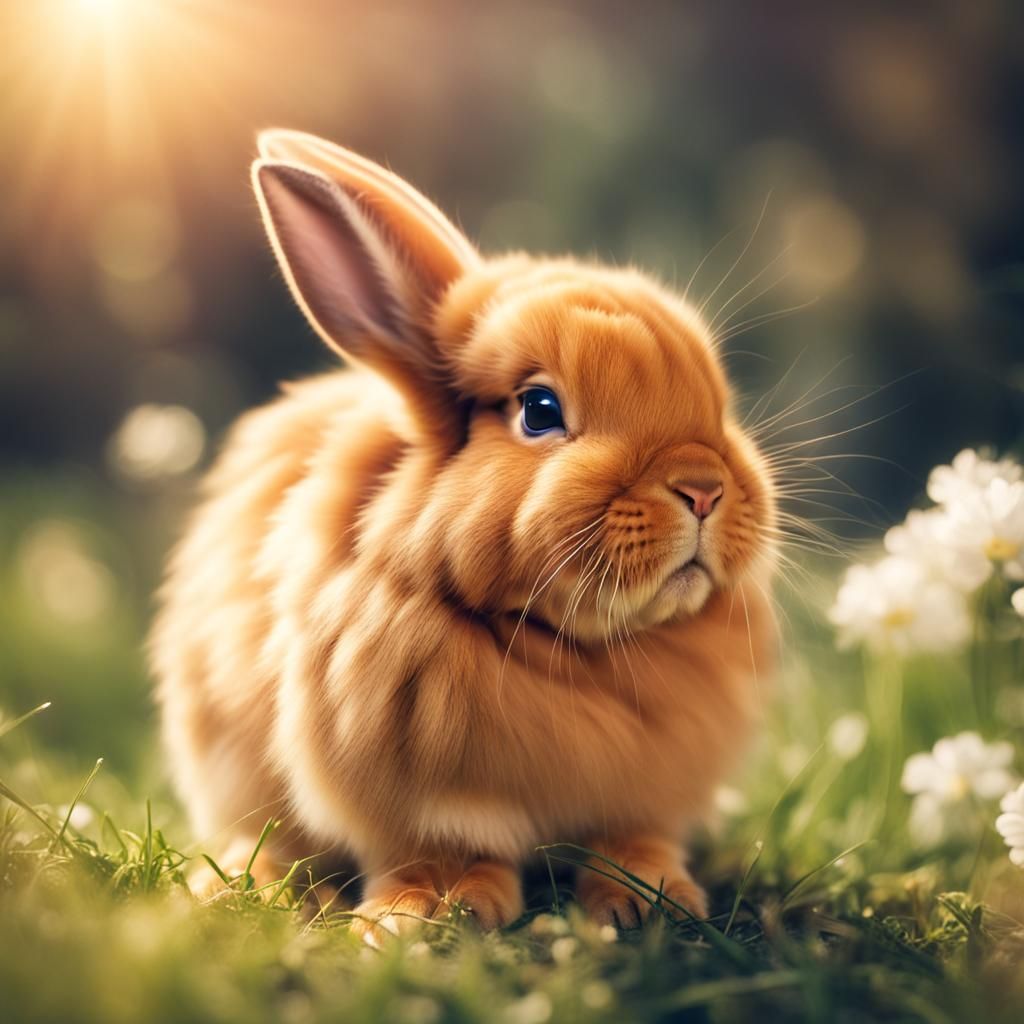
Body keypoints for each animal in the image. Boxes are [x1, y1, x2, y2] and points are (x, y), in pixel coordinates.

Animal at [150, 129, 778, 939]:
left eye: (718, 408)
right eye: (539, 410)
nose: (704, 488)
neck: (574, 651)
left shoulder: (643, 796)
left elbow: (632, 839)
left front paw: (650, 899)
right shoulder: (411, 797)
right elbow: (439, 852)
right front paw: (422, 914)